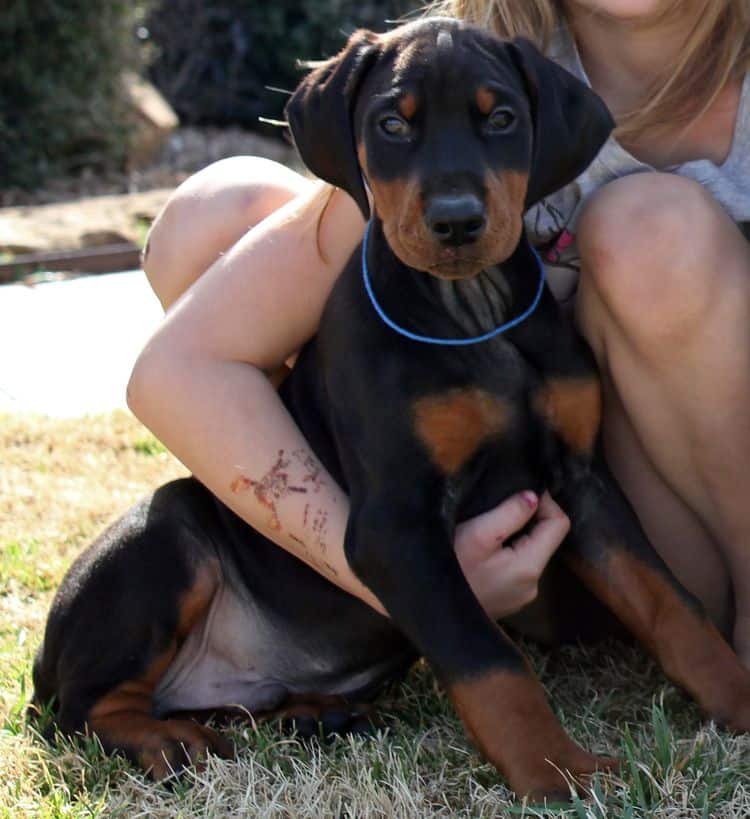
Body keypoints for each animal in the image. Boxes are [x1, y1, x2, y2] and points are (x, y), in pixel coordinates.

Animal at [33, 17, 750, 800]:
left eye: (501, 118)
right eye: (392, 124)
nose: (457, 221)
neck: (471, 314)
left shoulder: (585, 483)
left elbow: (671, 605)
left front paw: (737, 698)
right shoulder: (395, 526)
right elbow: (488, 659)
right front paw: (557, 770)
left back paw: (314, 713)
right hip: (163, 537)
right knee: (80, 709)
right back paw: (168, 741)